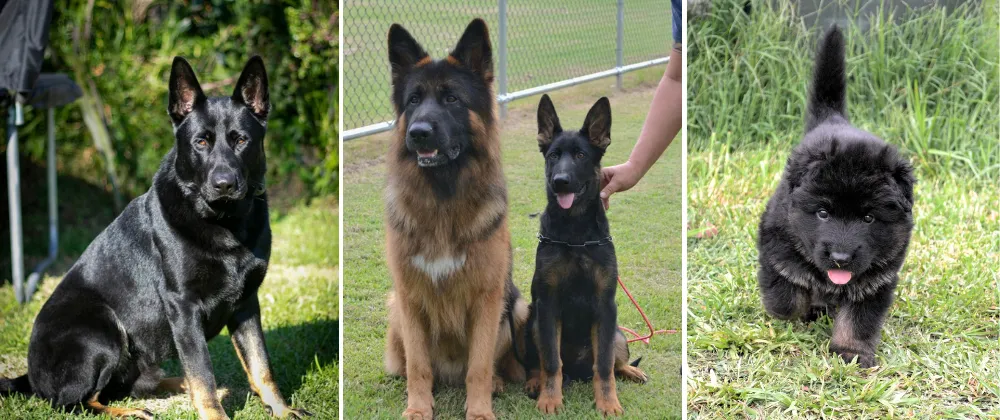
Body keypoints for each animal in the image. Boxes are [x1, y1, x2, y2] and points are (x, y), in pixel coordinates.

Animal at [0, 56, 308, 420]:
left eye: (241, 140)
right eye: (201, 142)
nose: (224, 184)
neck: (224, 222)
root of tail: (30, 377)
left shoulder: (246, 304)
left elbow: (261, 366)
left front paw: (282, 409)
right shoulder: (184, 309)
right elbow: (203, 373)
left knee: (130, 385)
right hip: (103, 329)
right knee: (77, 402)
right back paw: (130, 412)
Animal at [524, 96, 648, 416]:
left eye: (580, 155)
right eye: (553, 156)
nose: (560, 181)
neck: (576, 235)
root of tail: (578, 372)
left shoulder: (605, 306)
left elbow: (603, 366)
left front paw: (608, 403)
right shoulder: (547, 306)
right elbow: (551, 362)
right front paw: (550, 399)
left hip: (617, 333)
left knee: (613, 363)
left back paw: (630, 370)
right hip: (531, 322)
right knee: (541, 362)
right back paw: (534, 382)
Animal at [756, 27, 916, 368]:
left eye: (868, 217)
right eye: (822, 213)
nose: (841, 258)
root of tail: (833, 119)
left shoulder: (876, 280)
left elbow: (859, 319)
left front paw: (851, 351)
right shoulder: (776, 248)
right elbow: (786, 296)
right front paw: (800, 308)